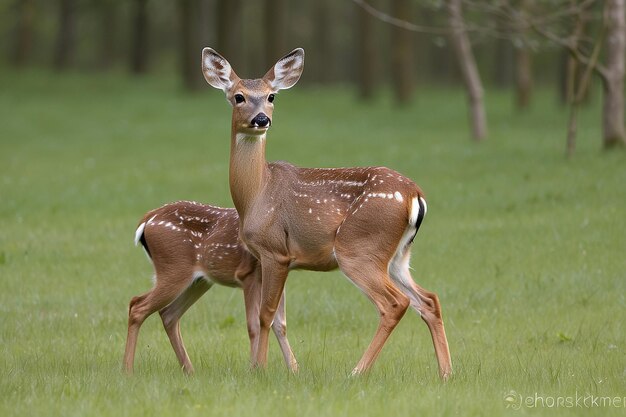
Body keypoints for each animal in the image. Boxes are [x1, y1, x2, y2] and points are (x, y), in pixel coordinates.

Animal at [123, 199, 298, 374]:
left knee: (168, 313)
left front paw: (294, 371)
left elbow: (280, 324)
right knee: (137, 305)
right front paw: (255, 370)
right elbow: (254, 324)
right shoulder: (248, 274)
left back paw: (190, 371)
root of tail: (149, 217)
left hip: (199, 281)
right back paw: (128, 370)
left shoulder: (275, 274)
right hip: (174, 269)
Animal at [202, 47, 450, 378]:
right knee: (428, 300)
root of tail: (415, 196)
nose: (261, 119)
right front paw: (284, 369)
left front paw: (259, 369)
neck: (256, 194)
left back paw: (357, 371)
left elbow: (265, 314)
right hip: (398, 255)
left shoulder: (274, 251)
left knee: (395, 303)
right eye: (239, 96)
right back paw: (446, 373)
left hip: (359, 247)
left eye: (271, 96)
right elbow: (277, 319)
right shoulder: (276, 258)